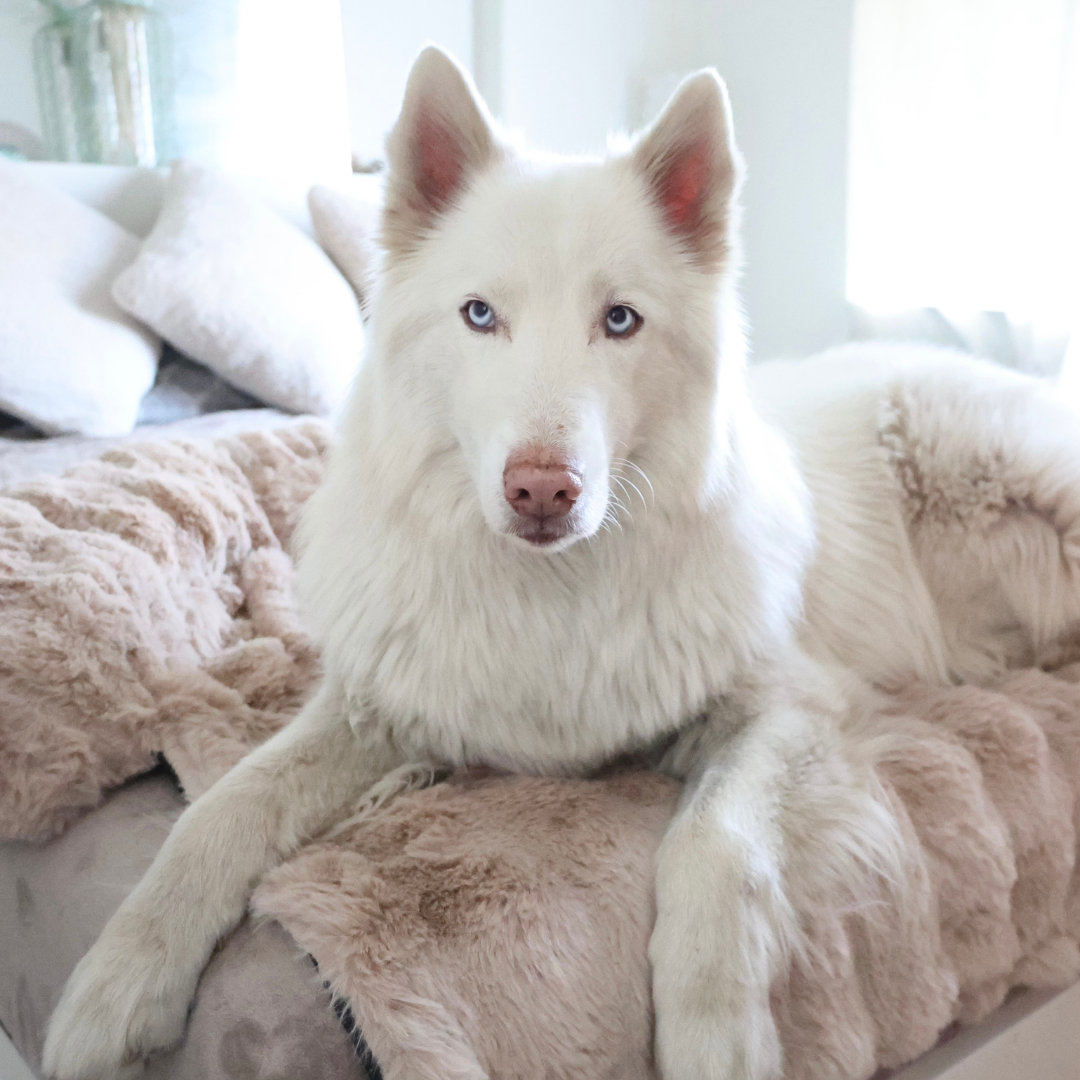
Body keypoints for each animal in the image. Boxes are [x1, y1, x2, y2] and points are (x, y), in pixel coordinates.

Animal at [43, 46, 1080, 1080]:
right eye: (479, 315)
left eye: (619, 321)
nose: (543, 491)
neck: (553, 592)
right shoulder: (377, 700)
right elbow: (220, 810)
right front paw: (117, 981)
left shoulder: (791, 706)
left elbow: (714, 842)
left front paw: (715, 1032)